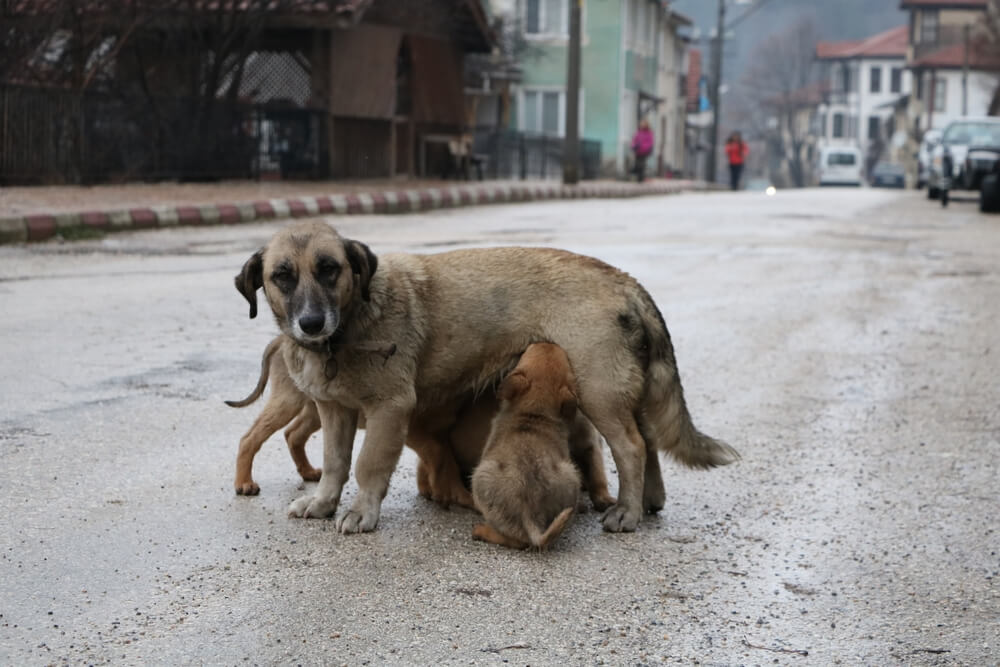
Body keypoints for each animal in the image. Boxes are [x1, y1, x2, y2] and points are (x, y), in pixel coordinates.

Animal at [474, 342, 588, 552]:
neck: (534, 411)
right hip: (571, 473)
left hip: (480, 476)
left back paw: (481, 531)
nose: (548, 342)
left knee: (517, 541)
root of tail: (531, 514)